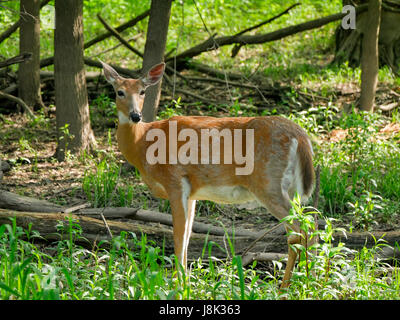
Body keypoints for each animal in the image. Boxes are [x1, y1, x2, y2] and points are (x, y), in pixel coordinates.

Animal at [100, 60, 316, 288]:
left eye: (142, 91)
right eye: (120, 92)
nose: (135, 115)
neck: (142, 143)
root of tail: (301, 137)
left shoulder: (174, 180)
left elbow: (178, 236)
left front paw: (178, 286)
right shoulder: (192, 192)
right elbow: (187, 236)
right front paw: (185, 281)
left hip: (268, 183)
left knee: (302, 229)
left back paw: (300, 284)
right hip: (291, 189)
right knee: (306, 225)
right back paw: (303, 281)